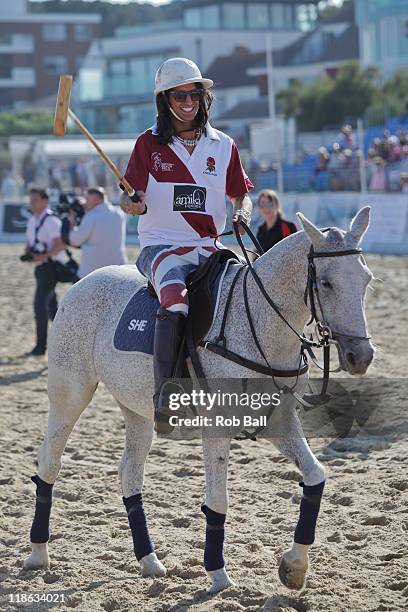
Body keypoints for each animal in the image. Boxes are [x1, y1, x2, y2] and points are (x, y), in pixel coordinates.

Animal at [22, 209, 374, 592]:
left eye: (367, 280)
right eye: (325, 283)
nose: (360, 356)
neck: (262, 324)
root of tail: (83, 281)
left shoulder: (278, 421)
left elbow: (316, 475)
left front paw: (294, 568)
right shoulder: (217, 426)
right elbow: (218, 499)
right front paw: (218, 573)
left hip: (137, 409)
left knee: (130, 473)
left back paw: (149, 561)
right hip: (70, 394)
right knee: (49, 463)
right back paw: (38, 554)